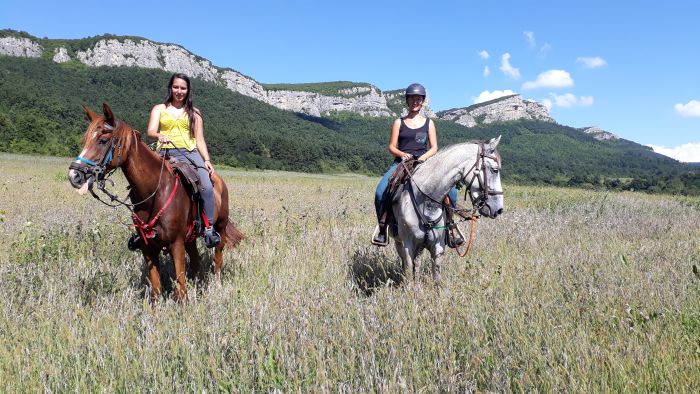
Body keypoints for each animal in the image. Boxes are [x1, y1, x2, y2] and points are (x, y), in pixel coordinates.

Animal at [68, 104, 243, 302]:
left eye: (103, 140)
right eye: (85, 139)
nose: (74, 175)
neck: (155, 191)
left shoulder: (176, 243)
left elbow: (180, 287)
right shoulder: (148, 247)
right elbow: (156, 287)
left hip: (219, 228)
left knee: (218, 257)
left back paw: (217, 283)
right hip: (190, 237)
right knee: (196, 260)